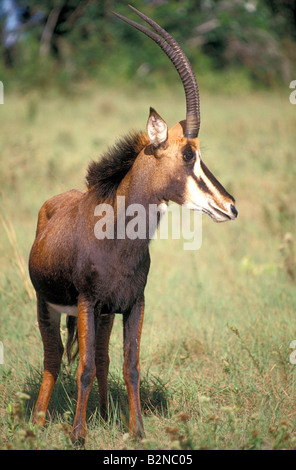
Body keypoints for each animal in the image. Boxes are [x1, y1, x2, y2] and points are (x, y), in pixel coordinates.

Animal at [29, 4, 238, 444]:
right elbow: (84, 368)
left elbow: (130, 365)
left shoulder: (134, 304)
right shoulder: (87, 303)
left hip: (106, 314)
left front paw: (136, 430)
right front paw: (78, 435)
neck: (119, 239)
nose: (229, 207)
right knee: (54, 358)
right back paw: (37, 423)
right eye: (188, 154)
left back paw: (105, 414)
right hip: (49, 306)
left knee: (104, 358)